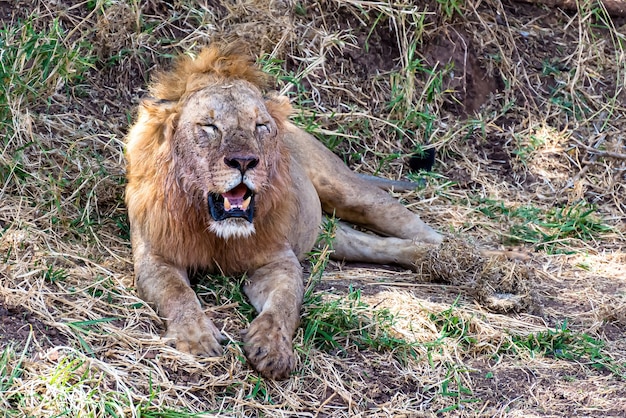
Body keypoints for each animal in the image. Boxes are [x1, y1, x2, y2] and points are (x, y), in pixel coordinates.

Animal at [124, 44, 442, 380]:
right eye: (209, 127)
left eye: (260, 126)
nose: (244, 161)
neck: (216, 230)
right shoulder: (156, 255)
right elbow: (177, 293)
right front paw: (196, 338)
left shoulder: (277, 258)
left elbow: (284, 305)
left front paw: (273, 348)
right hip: (329, 235)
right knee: (383, 246)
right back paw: (429, 260)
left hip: (348, 191)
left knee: (412, 223)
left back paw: (457, 256)